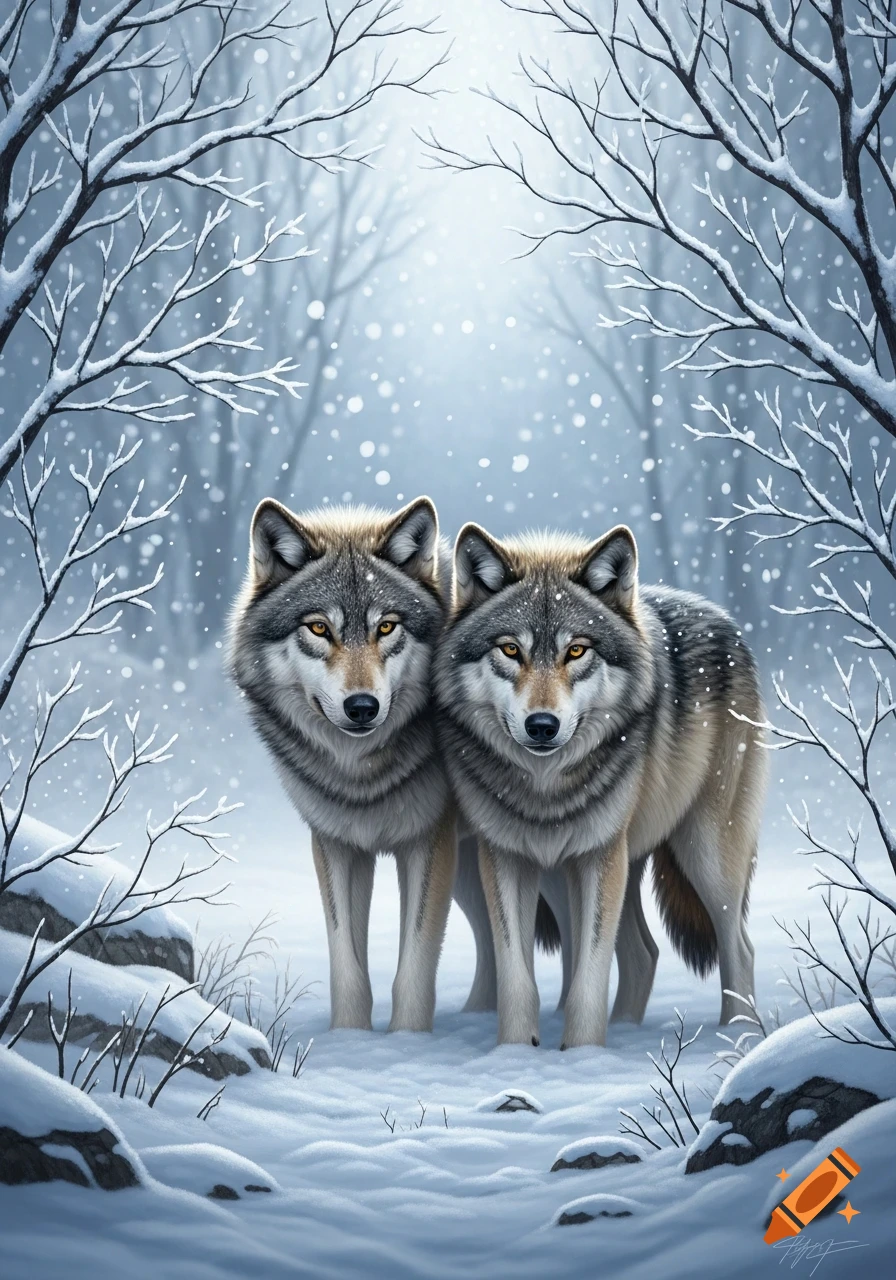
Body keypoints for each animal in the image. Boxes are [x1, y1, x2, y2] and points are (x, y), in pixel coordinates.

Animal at [228, 496, 458, 1033]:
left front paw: (408, 1043)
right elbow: (347, 968)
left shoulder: (431, 840)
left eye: (386, 627)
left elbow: (413, 970)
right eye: (318, 628)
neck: (362, 774)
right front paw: (351, 1041)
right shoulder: (336, 844)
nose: (362, 707)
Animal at [434, 521, 766, 1049]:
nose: (542, 726)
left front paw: (582, 1054)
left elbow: (590, 977)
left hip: (704, 855)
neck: (546, 788)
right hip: (567, 869)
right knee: (643, 954)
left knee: (739, 945)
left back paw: (740, 1038)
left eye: (576, 650)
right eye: (510, 649)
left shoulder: (598, 855)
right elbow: (516, 974)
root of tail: (725, 619)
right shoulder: (506, 856)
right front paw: (516, 1052)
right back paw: (628, 1027)